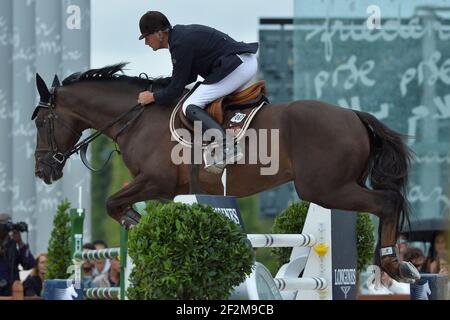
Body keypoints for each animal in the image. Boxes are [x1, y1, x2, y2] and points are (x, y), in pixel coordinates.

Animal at [31, 63, 418, 282]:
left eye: (39, 121)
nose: (41, 170)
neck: (136, 118)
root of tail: (354, 115)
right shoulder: (164, 188)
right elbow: (122, 206)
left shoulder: (154, 181)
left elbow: (113, 204)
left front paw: (139, 228)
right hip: (339, 185)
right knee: (388, 201)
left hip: (326, 189)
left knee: (387, 202)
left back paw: (393, 264)